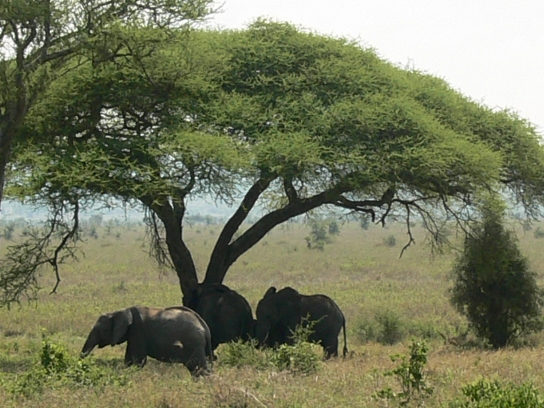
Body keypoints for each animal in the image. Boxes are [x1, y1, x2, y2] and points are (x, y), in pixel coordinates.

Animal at [81, 305, 213, 376]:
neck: (120, 311)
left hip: (194, 342)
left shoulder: (137, 331)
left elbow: (137, 361)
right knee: (194, 368)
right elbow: (130, 360)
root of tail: (205, 326)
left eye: (100, 330)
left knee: (199, 367)